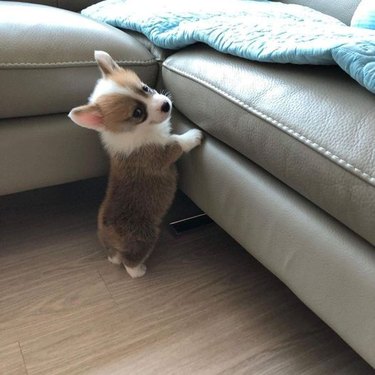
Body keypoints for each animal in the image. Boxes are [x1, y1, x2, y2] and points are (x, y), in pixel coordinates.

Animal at [68, 51, 203, 278]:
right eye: (138, 113)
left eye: (145, 88)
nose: (166, 105)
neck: (136, 130)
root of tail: (108, 232)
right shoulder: (160, 154)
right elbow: (178, 142)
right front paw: (194, 135)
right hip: (145, 238)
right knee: (129, 262)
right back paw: (139, 270)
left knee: (114, 258)